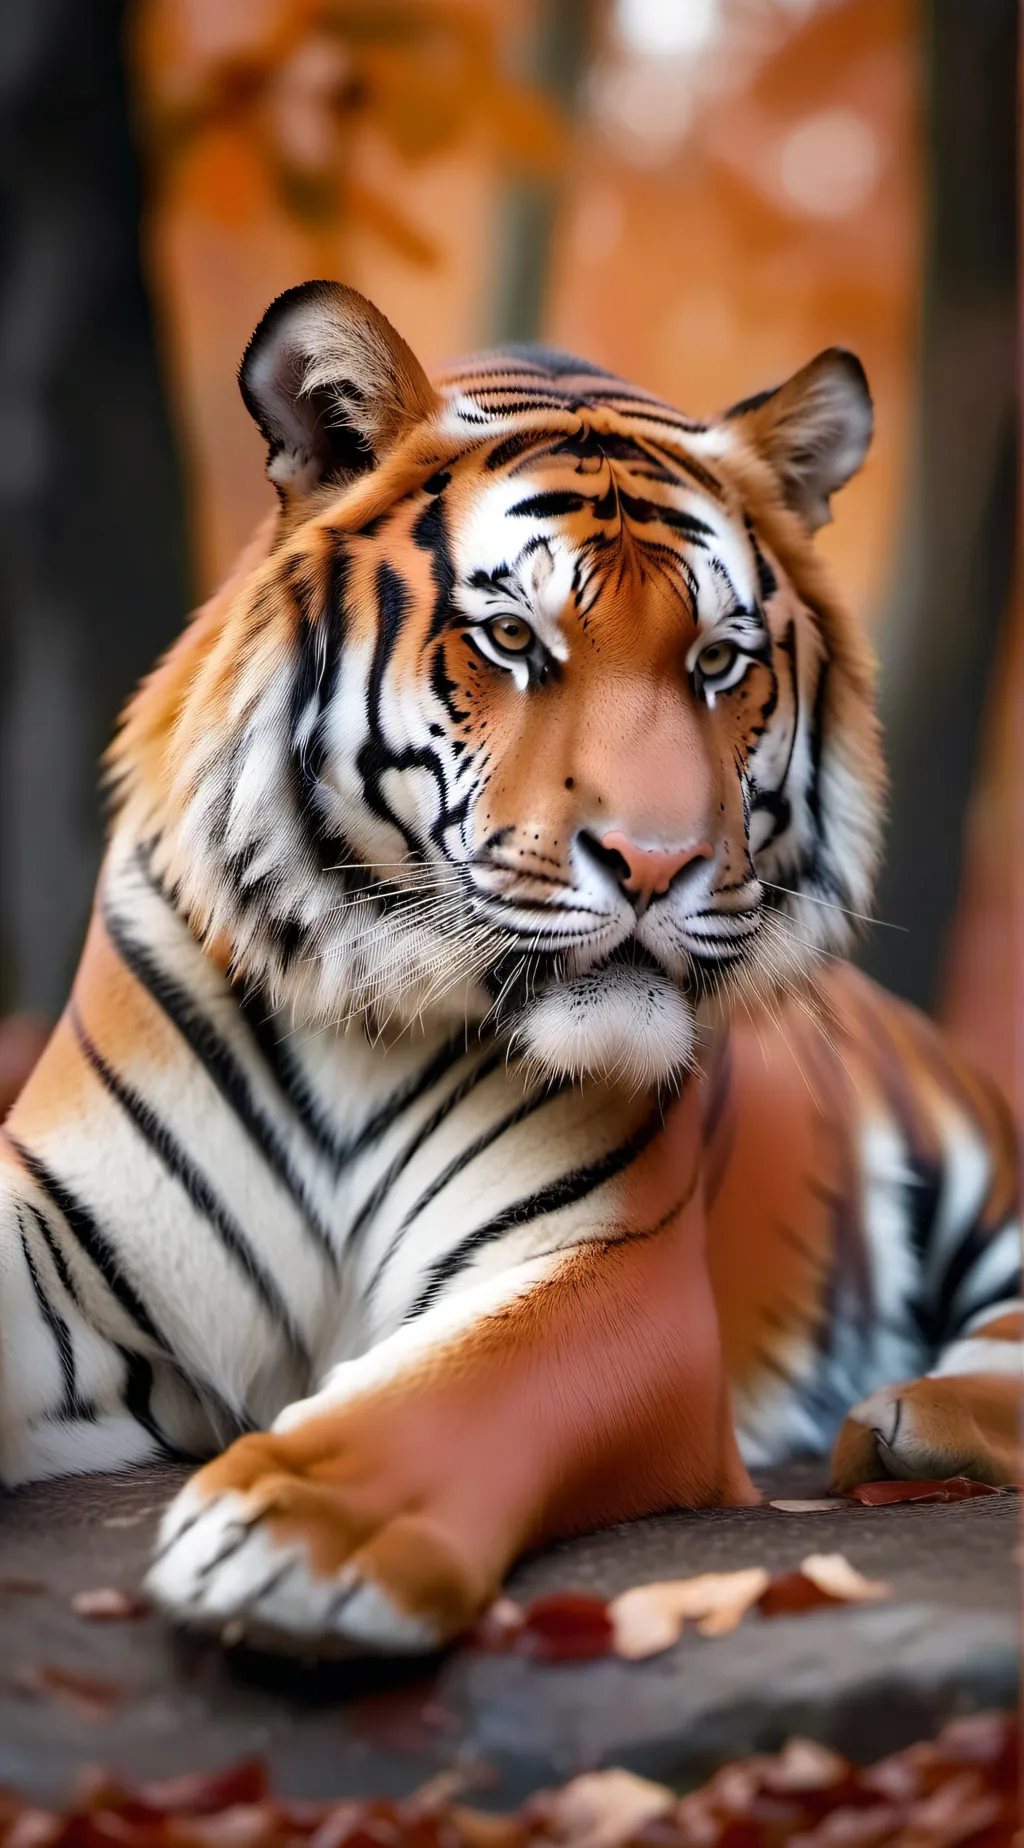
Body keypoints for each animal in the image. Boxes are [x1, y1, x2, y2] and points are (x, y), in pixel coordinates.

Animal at [0, 282, 1018, 1658]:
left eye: (717, 661)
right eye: (510, 638)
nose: (657, 864)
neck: (359, 1020)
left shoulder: (612, 1265)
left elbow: (455, 1389)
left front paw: (286, 1536)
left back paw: (910, 1420)